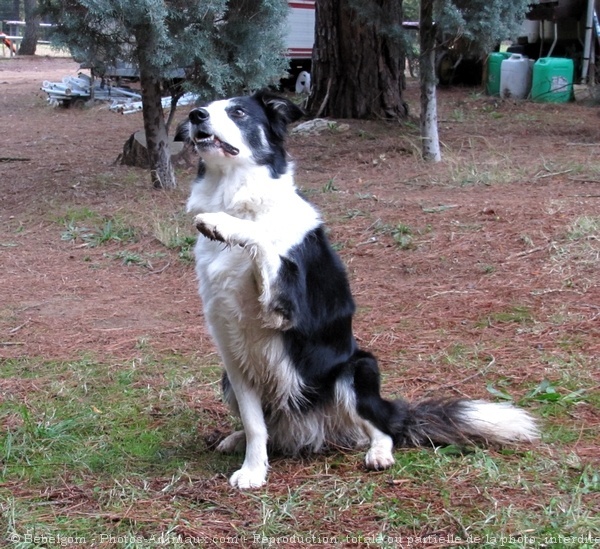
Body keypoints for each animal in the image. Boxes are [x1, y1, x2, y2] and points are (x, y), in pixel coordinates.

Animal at [184, 90, 540, 488]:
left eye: (238, 112)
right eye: (205, 107)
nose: (195, 115)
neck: (237, 198)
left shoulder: (286, 306)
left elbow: (262, 239)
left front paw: (220, 223)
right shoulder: (234, 356)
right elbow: (254, 423)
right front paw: (252, 469)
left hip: (356, 370)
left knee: (382, 428)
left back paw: (379, 453)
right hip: (233, 381)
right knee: (272, 428)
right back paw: (237, 439)